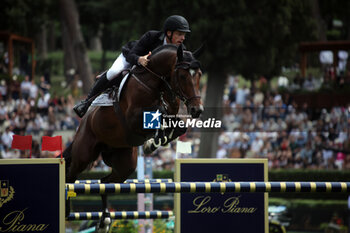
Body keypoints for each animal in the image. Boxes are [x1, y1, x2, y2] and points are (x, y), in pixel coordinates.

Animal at [64, 44, 204, 231]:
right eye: (182, 76)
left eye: (200, 75)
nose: (197, 110)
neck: (155, 84)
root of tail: (83, 123)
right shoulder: (133, 118)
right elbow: (158, 114)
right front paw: (154, 139)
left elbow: (178, 125)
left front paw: (156, 141)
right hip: (84, 154)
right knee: (70, 177)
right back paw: (68, 211)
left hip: (125, 163)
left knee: (105, 182)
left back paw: (104, 221)